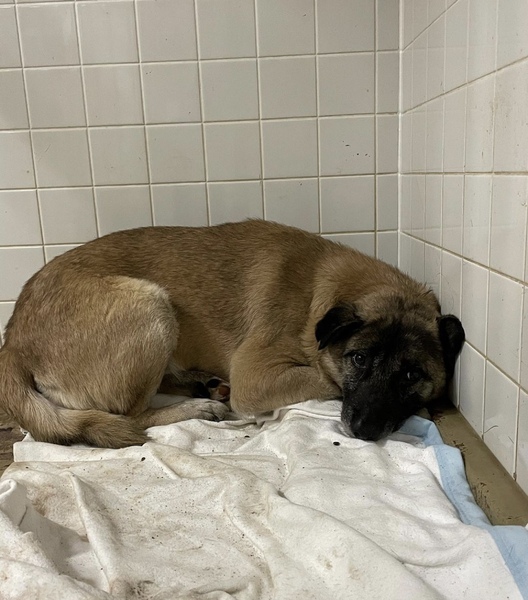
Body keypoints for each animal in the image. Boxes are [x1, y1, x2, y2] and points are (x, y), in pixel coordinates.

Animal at [0, 220, 464, 448]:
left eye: (411, 375)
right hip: (151, 306)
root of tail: (12, 343)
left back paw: (201, 385)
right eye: (360, 359)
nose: (365, 431)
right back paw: (198, 407)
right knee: (130, 415)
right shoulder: (255, 377)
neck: (320, 290)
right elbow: (325, 379)